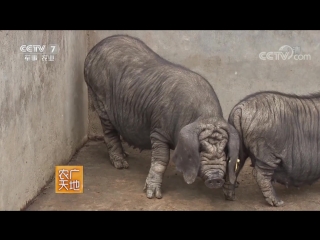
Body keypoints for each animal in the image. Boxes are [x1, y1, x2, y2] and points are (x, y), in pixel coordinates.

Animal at [84, 34, 239, 199]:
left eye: (225, 149)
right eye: (200, 148)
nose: (215, 178)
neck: (205, 116)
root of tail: (93, 50)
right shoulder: (159, 130)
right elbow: (161, 160)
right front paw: (153, 195)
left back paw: (126, 155)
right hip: (98, 96)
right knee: (109, 131)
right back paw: (122, 164)